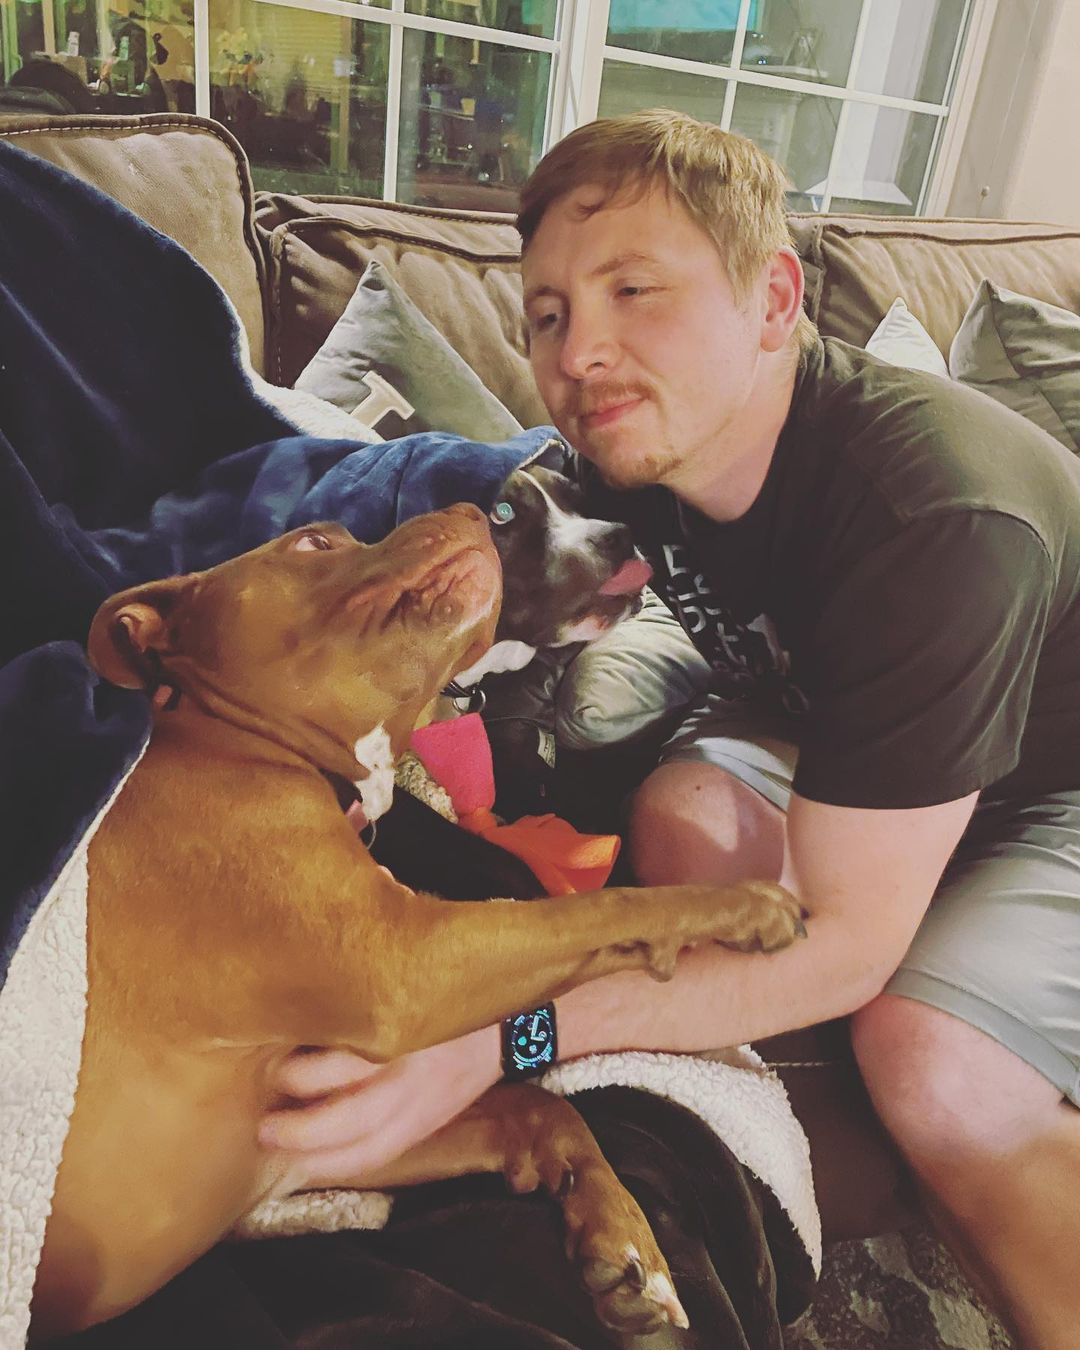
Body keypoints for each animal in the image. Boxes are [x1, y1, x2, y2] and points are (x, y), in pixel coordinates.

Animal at [31, 507, 799, 1339]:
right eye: (315, 542)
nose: (474, 508)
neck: (246, 744)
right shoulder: (406, 963)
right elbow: (600, 905)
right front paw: (742, 908)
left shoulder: (300, 1147)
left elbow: (537, 1105)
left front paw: (621, 1236)